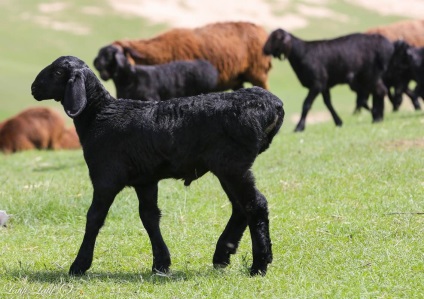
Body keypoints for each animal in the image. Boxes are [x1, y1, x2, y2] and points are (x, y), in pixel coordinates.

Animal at [30, 55, 284, 276]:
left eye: (58, 72)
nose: (33, 88)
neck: (99, 115)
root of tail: (274, 104)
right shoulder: (146, 180)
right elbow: (150, 217)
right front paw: (161, 264)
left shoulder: (106, 177)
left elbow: (94, 217)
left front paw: (79, 265)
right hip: (227, 167)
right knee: (240, 207)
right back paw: (223, 254)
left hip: (233, 166)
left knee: (255, 205)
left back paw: (259, 264)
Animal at [262, 29, 394, 131]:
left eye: (276, 37)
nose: (264, 49)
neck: (302, 53)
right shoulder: (324, 85)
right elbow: (328, 103)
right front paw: (338, 122)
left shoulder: (317, 83)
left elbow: (306, 104)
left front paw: (299, 127)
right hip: (370, 77)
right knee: (379, 91)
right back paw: (377, 117)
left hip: (369, 75)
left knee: (379, 91)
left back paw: (377, 117)